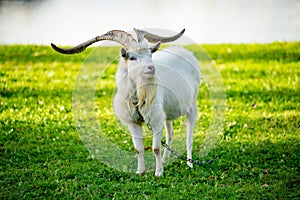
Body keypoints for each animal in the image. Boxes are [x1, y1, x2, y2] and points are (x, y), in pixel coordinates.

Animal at [51, 28, 202, 176]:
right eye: (132, 57)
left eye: (150, 54)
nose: (151, 69)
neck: (137, 97)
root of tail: (187, 54)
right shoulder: (134, 122)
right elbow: (138, 148)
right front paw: (140, 171)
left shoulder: (155, 120)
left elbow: (155, 148)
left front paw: (158, 173)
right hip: (167, 112)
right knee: (170, 134)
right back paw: (165, 160)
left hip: (192, 107)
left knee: (189, 138)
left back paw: (189, 164)